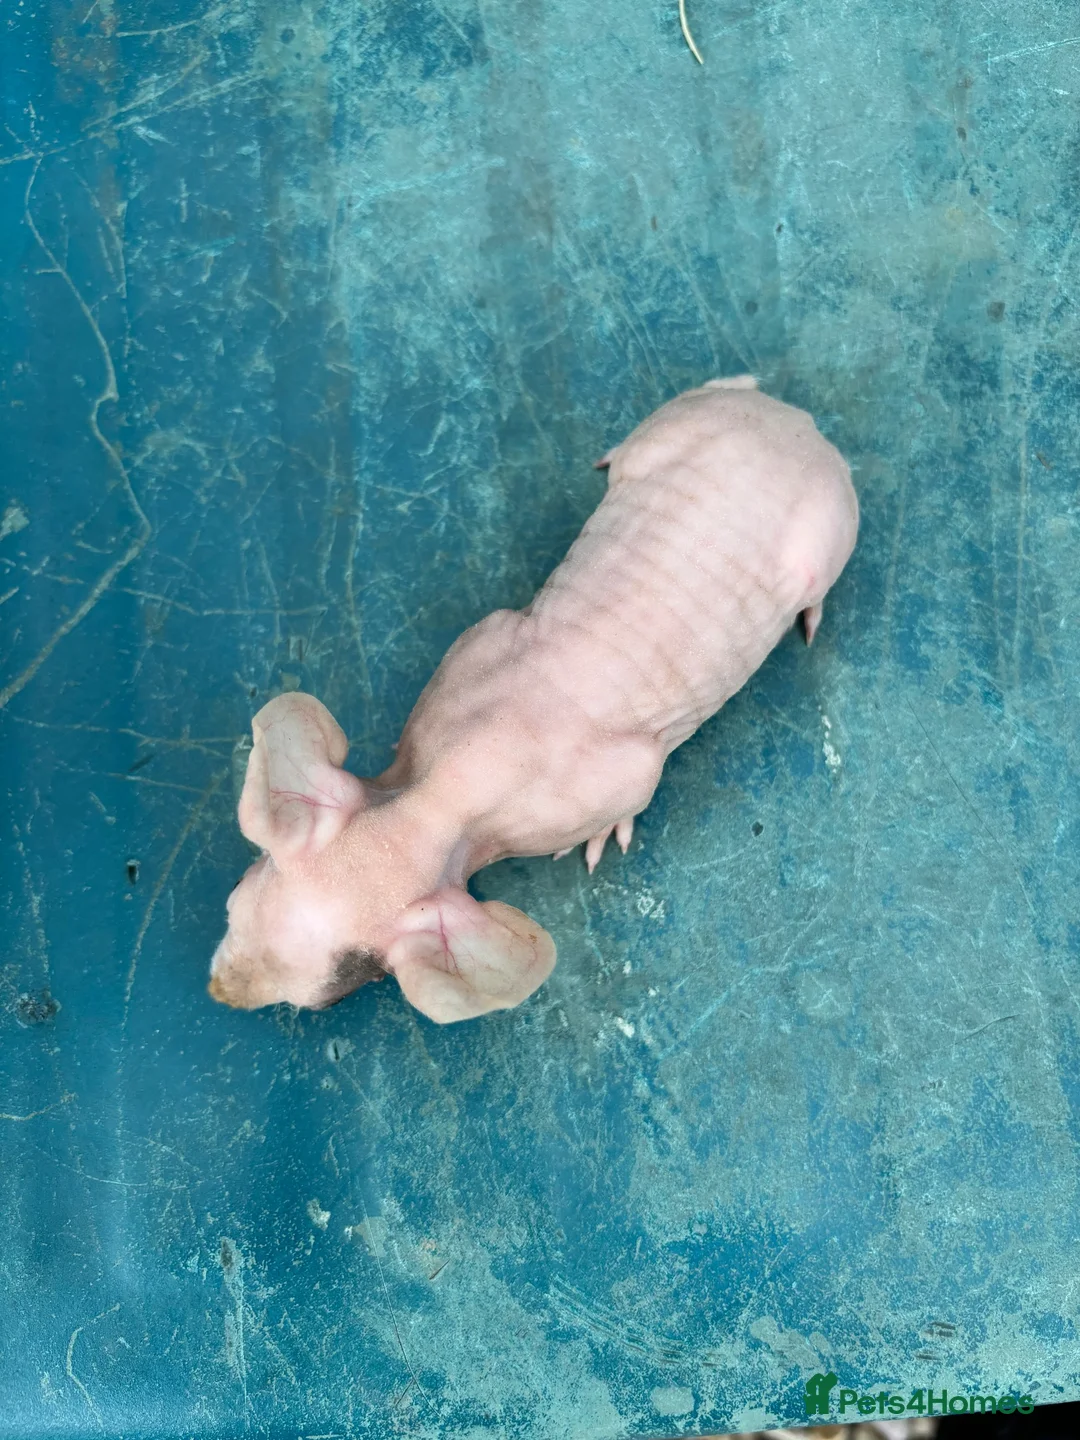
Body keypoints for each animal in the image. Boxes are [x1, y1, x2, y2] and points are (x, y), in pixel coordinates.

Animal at [209, 377, 858, 1022]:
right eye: (234, 898)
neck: (456, 787)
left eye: (330, 996)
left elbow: (633, 795)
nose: (219, 990)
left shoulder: (619, 781)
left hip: (832, 527)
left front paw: (600, 840)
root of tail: (794, 422)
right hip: (682, 426)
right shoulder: (477, 648)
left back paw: (811, 617)